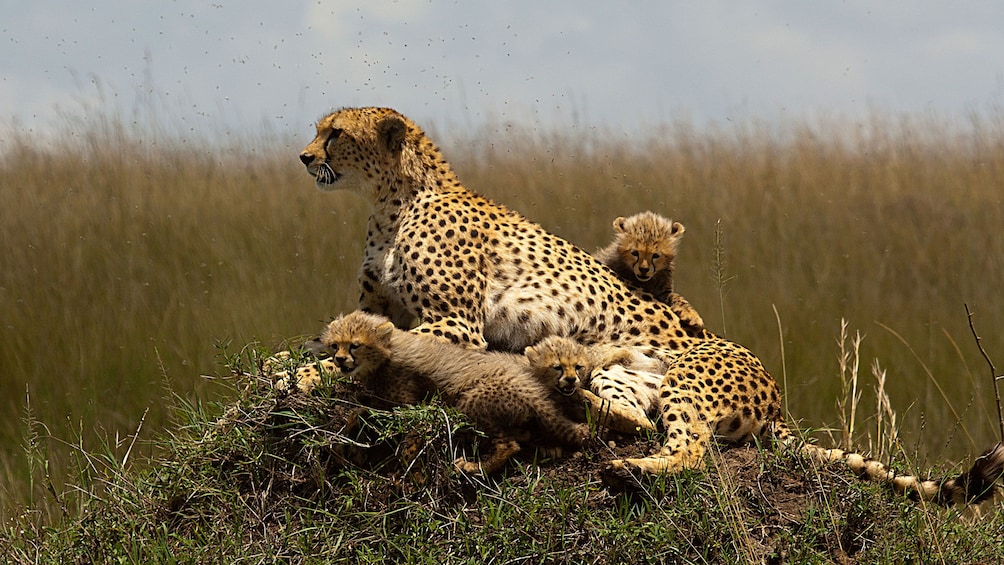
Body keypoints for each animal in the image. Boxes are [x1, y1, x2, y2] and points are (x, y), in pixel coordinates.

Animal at [295, 107, 1003, 507]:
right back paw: (575, 403)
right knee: (633, 417)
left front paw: (299, 375)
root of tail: (778, 400)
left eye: (334, 133)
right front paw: (308, 365)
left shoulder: (456, 324)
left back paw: (626, 465)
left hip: (687, 372)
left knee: (687, 448)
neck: (391, 200)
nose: (303, 156)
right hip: (624, 372)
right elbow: (339, 335)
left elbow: (344, 352)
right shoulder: (392, 313)